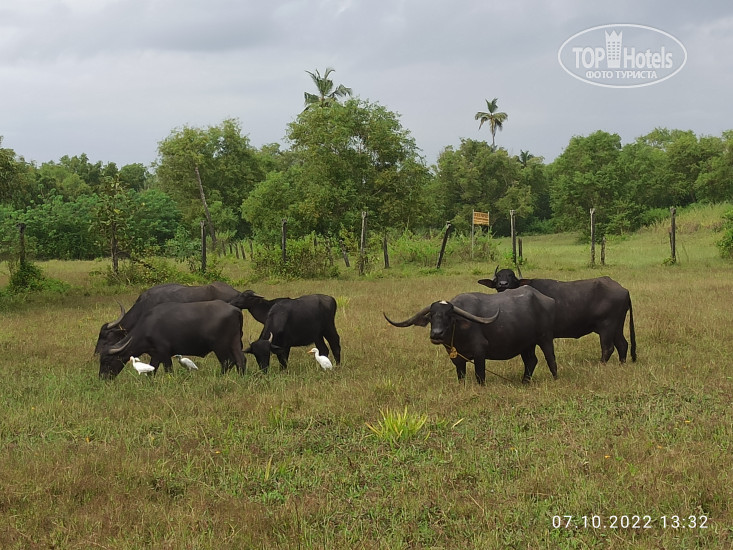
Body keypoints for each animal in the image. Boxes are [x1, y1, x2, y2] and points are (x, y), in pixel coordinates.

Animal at [98, 300, 246, 379]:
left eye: (106, 360)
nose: (102, 378)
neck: (148, 326)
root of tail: (235, 310)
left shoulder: (164, 353)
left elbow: (169, 370)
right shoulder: (155, 355)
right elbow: (152, 371)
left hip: (220, 345)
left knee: (227, 362)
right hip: (235, 343)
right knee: (241, 360)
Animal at [384, 288, 557, 384]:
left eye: (449, 316)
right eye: (432, 316)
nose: (437, 334)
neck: (459, 334)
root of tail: (547, 299)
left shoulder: (480, 352)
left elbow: (480, 376)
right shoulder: (457, 358)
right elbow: (461, 376)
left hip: (545, 338)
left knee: (550, 359)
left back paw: (555, 378)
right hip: (526, 344)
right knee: (531, 361)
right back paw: (525, 382)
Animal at [478, 267, 636, 363]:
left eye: (511, 276)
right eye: (498, 276)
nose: (502, 284)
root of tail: (623, 289)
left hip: (607, 326)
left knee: (608, 348)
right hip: (617, 326)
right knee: (623, 344)